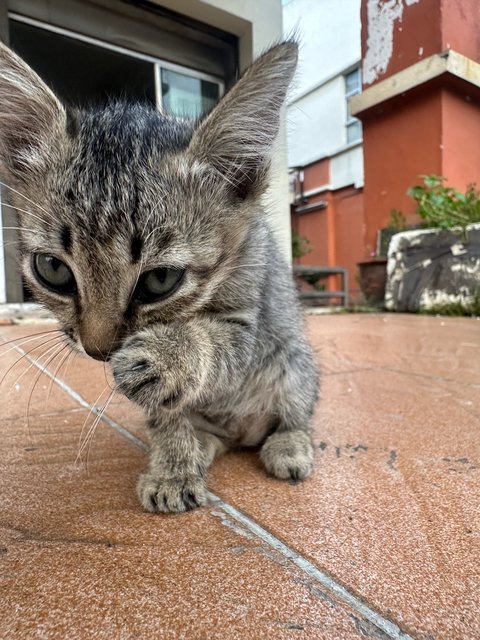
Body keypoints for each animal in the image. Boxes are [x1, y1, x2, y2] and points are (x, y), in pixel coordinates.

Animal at [0, 38, 318, 510]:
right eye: (52, 268)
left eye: (160, 280)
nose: (98, 351)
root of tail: (242, 433)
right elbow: (166, 413)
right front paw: (173, 467)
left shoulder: (252, 317)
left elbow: (216, 340)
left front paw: (172, 353)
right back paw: (201, 444)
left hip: (294, 365)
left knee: (295, 410)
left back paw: (290, 444)